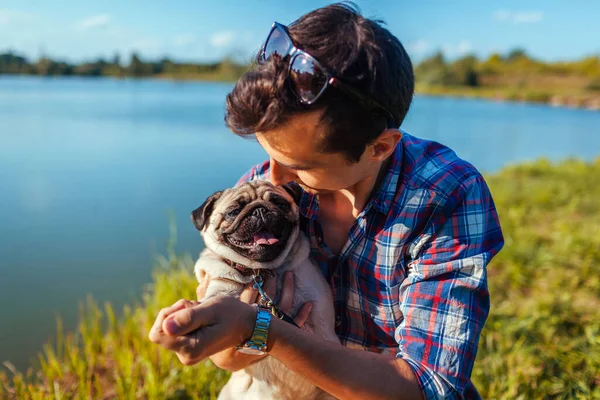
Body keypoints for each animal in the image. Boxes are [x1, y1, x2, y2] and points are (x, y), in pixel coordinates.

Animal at [191, 180, 338, 400]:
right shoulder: (221, 282)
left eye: (280, 204)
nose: (259, 210)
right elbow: (214, 299)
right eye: (233, 212)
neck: (260, 271)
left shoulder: (319, 321)